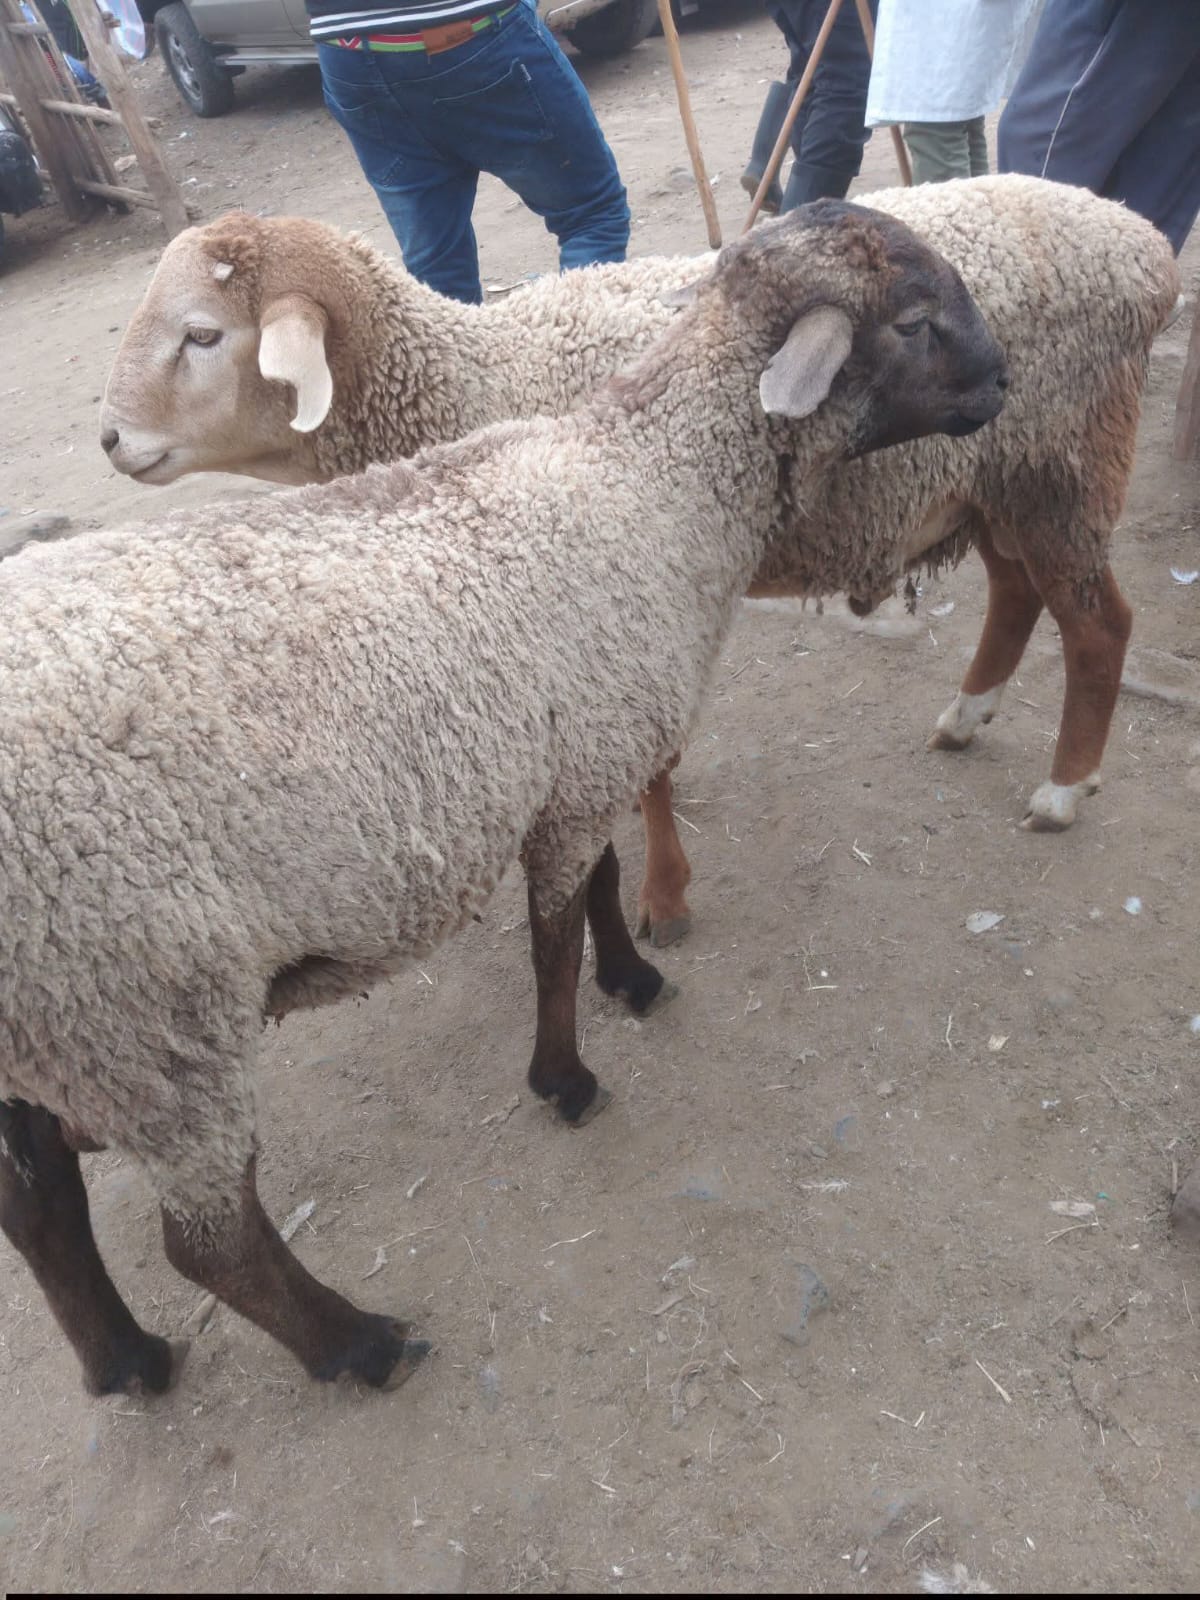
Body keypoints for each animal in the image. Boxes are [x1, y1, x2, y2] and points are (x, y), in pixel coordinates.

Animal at [0, 201, 1007, 1399]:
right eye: (913, 319)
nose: (1004, 380)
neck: (653, 479)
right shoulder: (581, 774)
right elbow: (554, 940)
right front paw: (567, 1074)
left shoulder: (578, 762)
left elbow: (606, 886)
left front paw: (632, 979)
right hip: (138, 1016)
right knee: (207, 1241)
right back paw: (358, 1345)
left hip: (50, 1027)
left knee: (38, 1201)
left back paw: (125, 1360)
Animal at [99, 180, 1180, 953]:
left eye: (203, 335)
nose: (110, 441)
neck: (469, 379)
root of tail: (1144, 243)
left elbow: (649, 775)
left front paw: (663, 895)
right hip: (996, 475)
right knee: (1017, 593)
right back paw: (966, 715)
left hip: (1062, 460)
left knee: (1098, 624)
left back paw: (1062, 789)